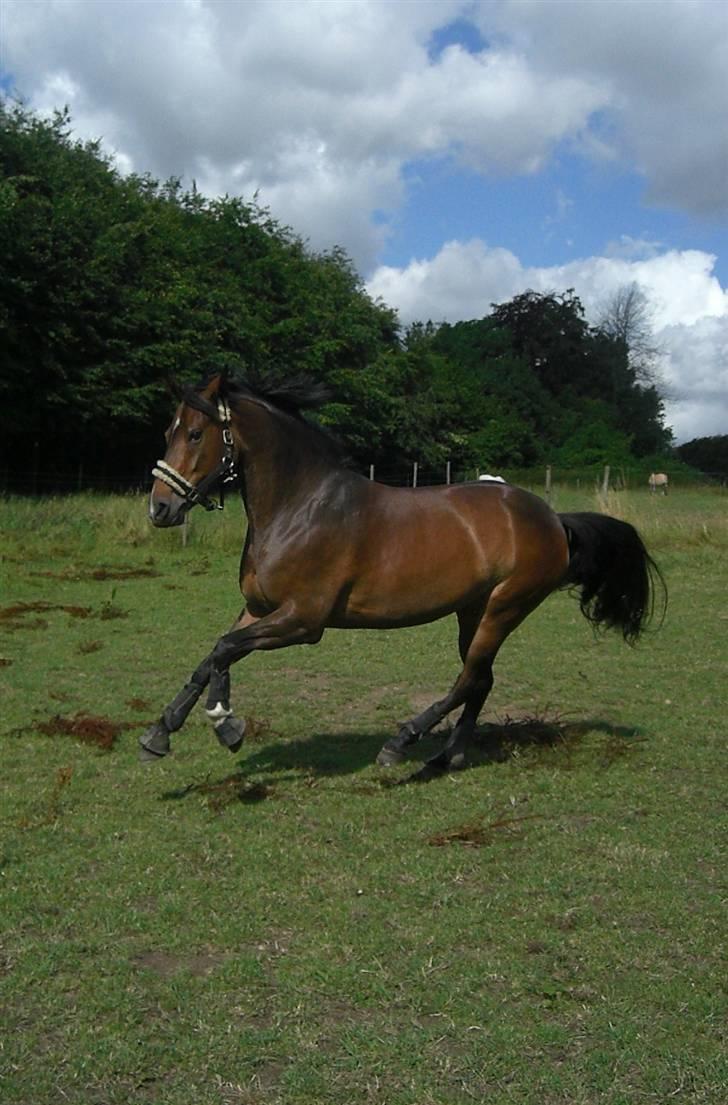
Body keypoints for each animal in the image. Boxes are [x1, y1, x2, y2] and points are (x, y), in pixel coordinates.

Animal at [141, 372, 664, 773]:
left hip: (505, 607)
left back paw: (401, 743)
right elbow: (213, 654)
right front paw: (160, 732)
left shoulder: (303, 621)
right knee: (481, 679)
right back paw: (447, 757)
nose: (160, 509)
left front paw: (225, 722)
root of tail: (552, 518)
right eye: (168, 431)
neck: (301, 507)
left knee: (470, 678)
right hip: (474, 611)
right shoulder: (258, 609)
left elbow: (224, 650)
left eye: (195, 434)